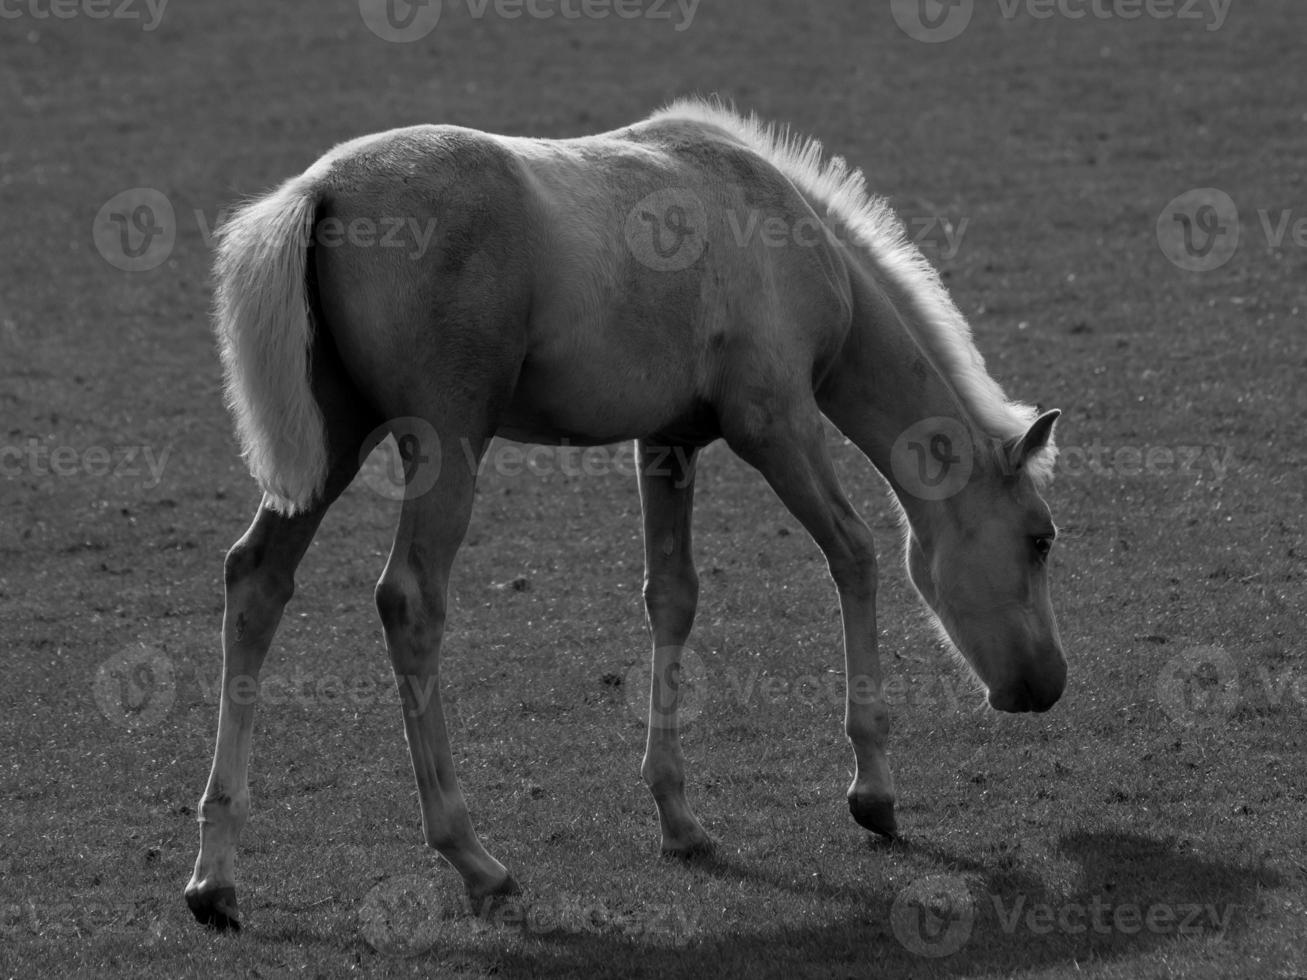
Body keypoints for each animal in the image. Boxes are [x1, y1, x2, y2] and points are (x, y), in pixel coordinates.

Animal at [186, 99, 1061, 935]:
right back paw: (476, 861)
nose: (1046, 684)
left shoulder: (668, 443)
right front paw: (873, 790)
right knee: (408, 599)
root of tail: (322, 188)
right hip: (443, 442)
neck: (783, 229)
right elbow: (854, 554)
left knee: (257, 579)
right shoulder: (774, 422)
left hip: (336, 441)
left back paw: (215, 879)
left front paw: (679, 818)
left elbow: (671, 595)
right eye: (1040, 539)